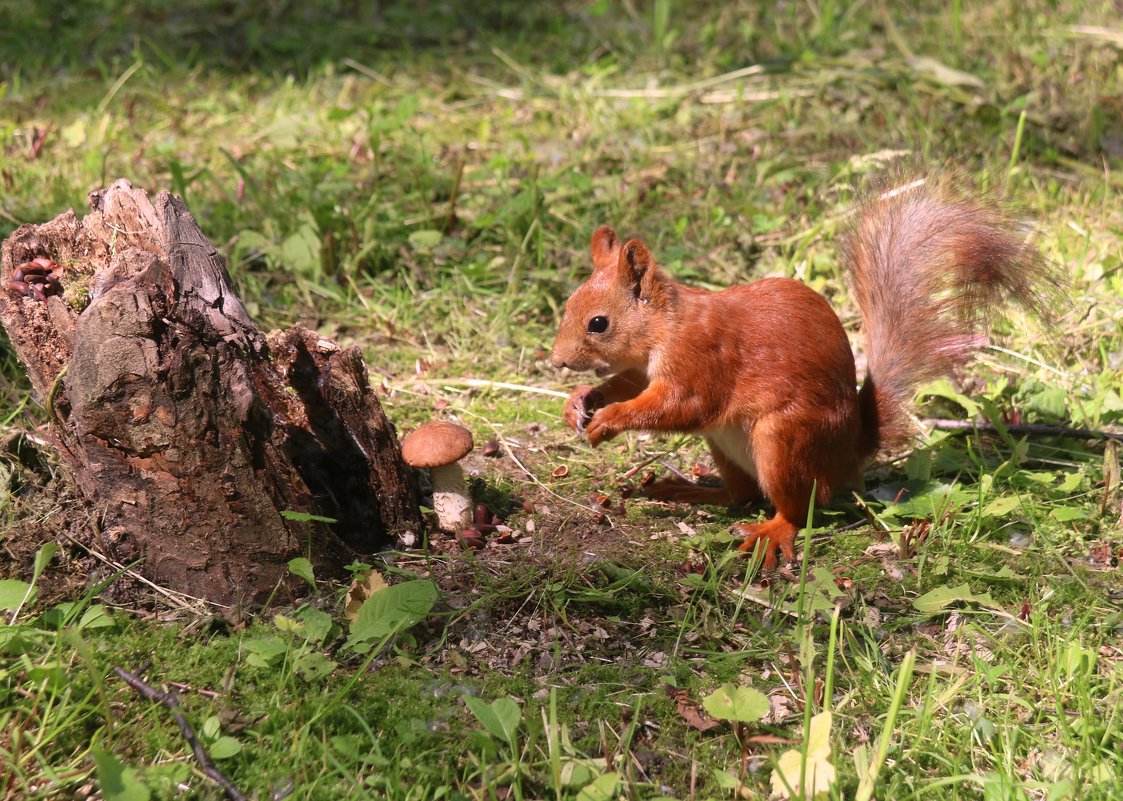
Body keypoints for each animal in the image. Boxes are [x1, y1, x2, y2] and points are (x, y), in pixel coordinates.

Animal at [552, 178, 1051, 566]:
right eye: (568, 303)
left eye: (599, 323)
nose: (556, 361)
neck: (664, 325)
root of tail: (850, 452)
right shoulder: (642, 368)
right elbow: (630, 384)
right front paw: (581, 401)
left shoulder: (701, 359)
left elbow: (681, 406)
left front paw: (608, 420)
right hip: (726, 445)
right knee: (742, 494)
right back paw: (689, 490)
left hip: (783, 441)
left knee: (797, 506)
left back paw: (771, 532)